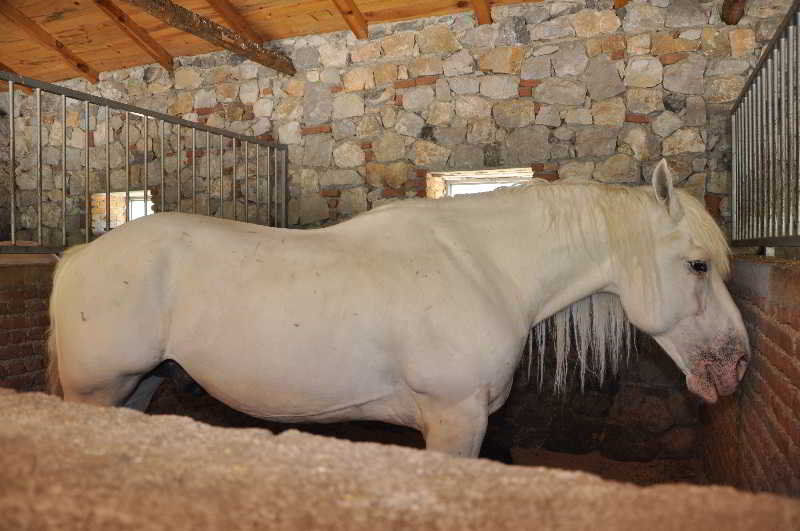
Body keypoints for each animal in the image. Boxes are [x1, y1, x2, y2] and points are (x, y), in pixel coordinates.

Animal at [47, 161, 752, 458]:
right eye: (698, 265)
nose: (736, 368)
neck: (484, 266)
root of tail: (76, 256)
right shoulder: (454, 419)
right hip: (97, 391)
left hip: (137, 388)